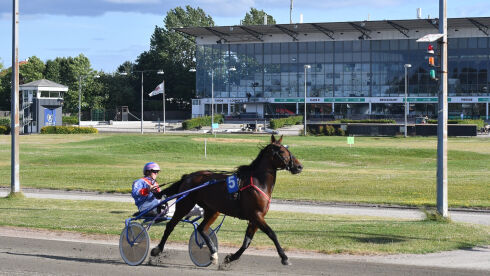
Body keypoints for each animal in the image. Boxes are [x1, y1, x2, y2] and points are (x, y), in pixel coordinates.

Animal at [151, 135, 302, 266]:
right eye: (282, 151)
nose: (299, 166)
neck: (258, 182)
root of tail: (188, 176)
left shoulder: (255, 218)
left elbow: (247, 242)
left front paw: (231, 258)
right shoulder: (256, 215)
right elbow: (272, 234)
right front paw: (284, 257)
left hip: (212, 210)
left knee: (201, 228)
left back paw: (213, 253)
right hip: (185, 204)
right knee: (170, 225)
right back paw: (157, 249)